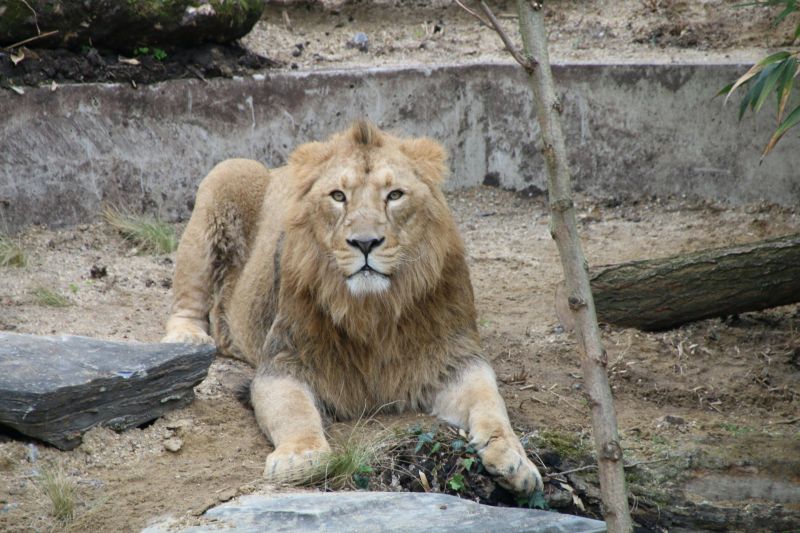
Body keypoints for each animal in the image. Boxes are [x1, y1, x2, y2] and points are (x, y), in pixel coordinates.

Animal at [165, 121, 544, 494]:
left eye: (394, 195)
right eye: (338, 196)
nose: (365, 243)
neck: (373, 309)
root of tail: (276, 170)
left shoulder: (453, 356)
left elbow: (490, 401)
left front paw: (515, 460)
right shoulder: (284, 360)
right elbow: (293, 410)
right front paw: (300, 457)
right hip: (226, 174)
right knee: (187, 300)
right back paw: (188, 339)